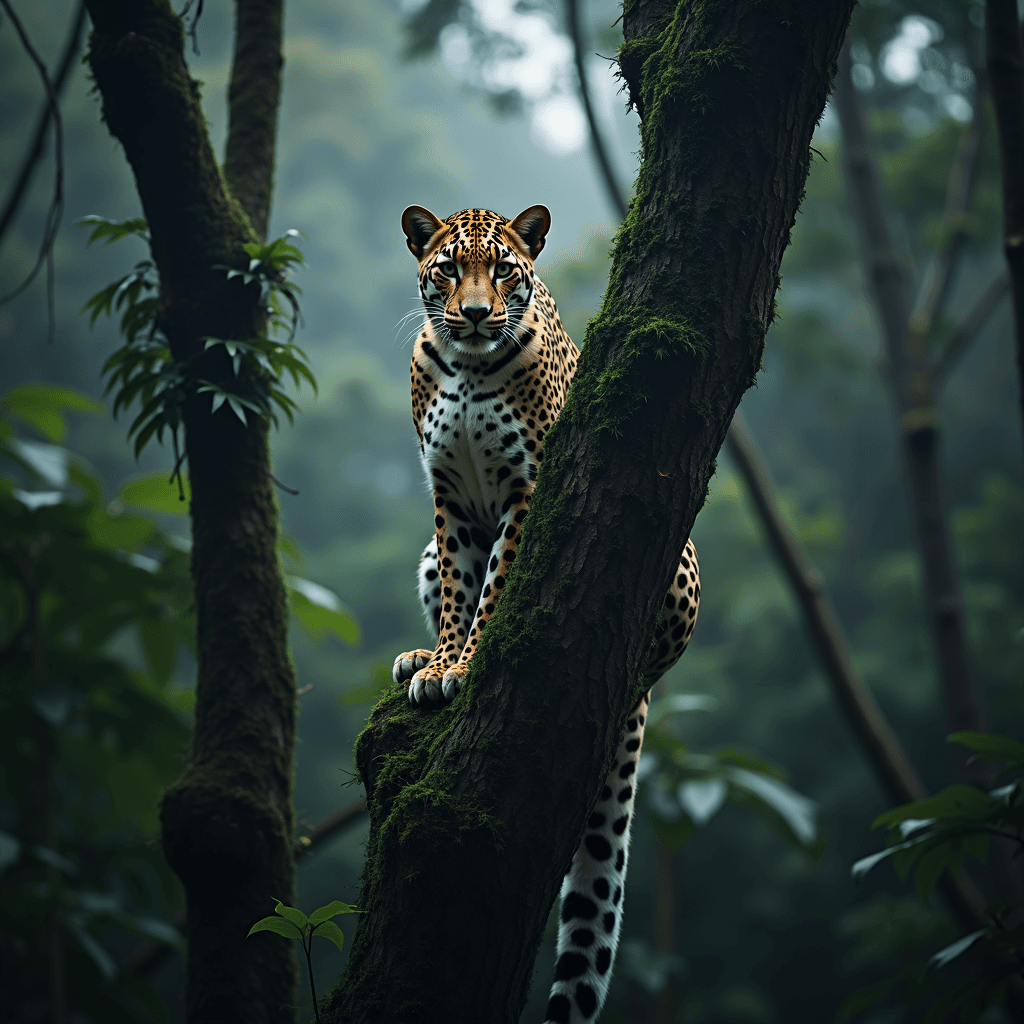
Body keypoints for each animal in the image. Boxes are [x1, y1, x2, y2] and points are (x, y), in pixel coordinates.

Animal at [389, 205, 696, 1024]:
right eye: (448, 268)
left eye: (503, 270)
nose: (473, 314)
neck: (465, 367)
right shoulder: (449, 498)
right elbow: (459, 589)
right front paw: (439, 662)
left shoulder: (528, 487)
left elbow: (496, 586)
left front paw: (465, 664)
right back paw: (411, 656)